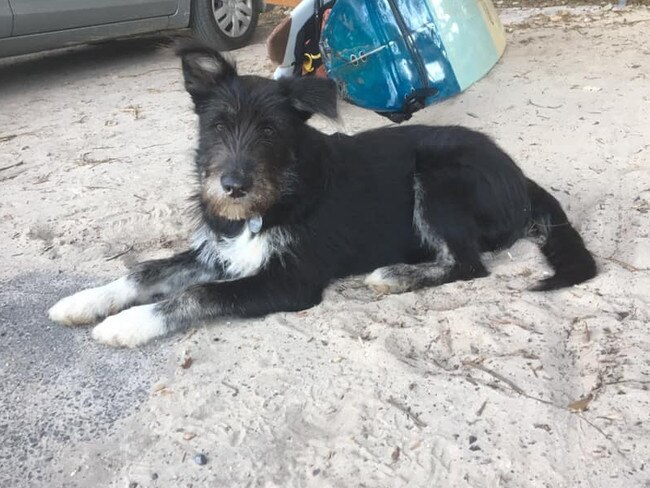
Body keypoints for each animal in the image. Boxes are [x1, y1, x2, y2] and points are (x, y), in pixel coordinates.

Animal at [48, 43, 596, 346]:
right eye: (218, 125)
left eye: (270, 132)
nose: (232, 187)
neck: (274, 197)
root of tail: (520, 176)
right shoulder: (220, 250)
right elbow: (144, 270)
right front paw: (83, 302)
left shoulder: (290, 283)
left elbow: (199, 294)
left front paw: (127, 326)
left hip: (439, 178)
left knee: (467, 264)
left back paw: (395, 275)